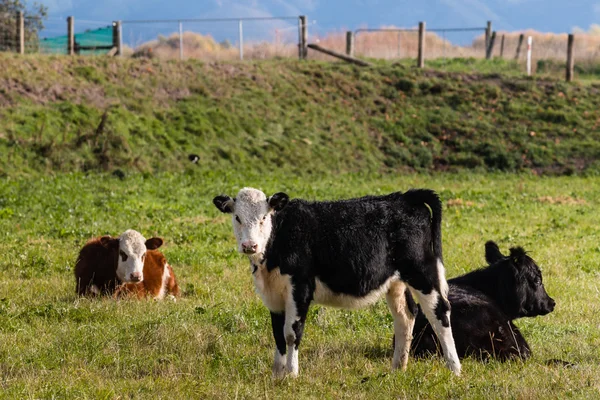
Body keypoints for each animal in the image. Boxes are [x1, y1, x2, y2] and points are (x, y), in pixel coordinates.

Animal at [213, 188, 462, 378]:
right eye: (237, 218)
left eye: (264, 218)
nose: (249, 245)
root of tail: (406, 197)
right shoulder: (274, 295)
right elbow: (278, 334)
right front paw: (277, 374)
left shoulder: (300, 288)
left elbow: (292, 333)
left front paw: (291, 374)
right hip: (396, 283)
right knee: (406, 317)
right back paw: (397, 368)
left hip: (421, 272)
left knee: (440, 312)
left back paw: (454, 368)